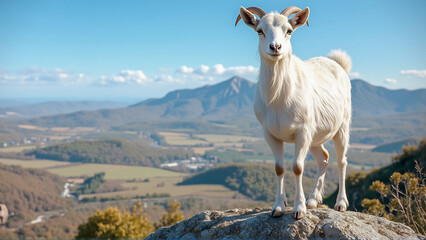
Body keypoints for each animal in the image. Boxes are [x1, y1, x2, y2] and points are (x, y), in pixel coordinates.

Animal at [235, 5, 352, 219]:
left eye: (289, 30)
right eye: (259, 31)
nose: (275, 47)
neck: (278, 98)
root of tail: (337, 63)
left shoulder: (302, 132)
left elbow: (297, 167)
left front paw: (299, 209)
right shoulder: (271, 134)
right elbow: (279, 168)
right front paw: (278, 207)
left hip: (342, 127)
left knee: (341, 161)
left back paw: (340, 204)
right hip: (316, 137)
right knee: (323, 158)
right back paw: (313, 200)